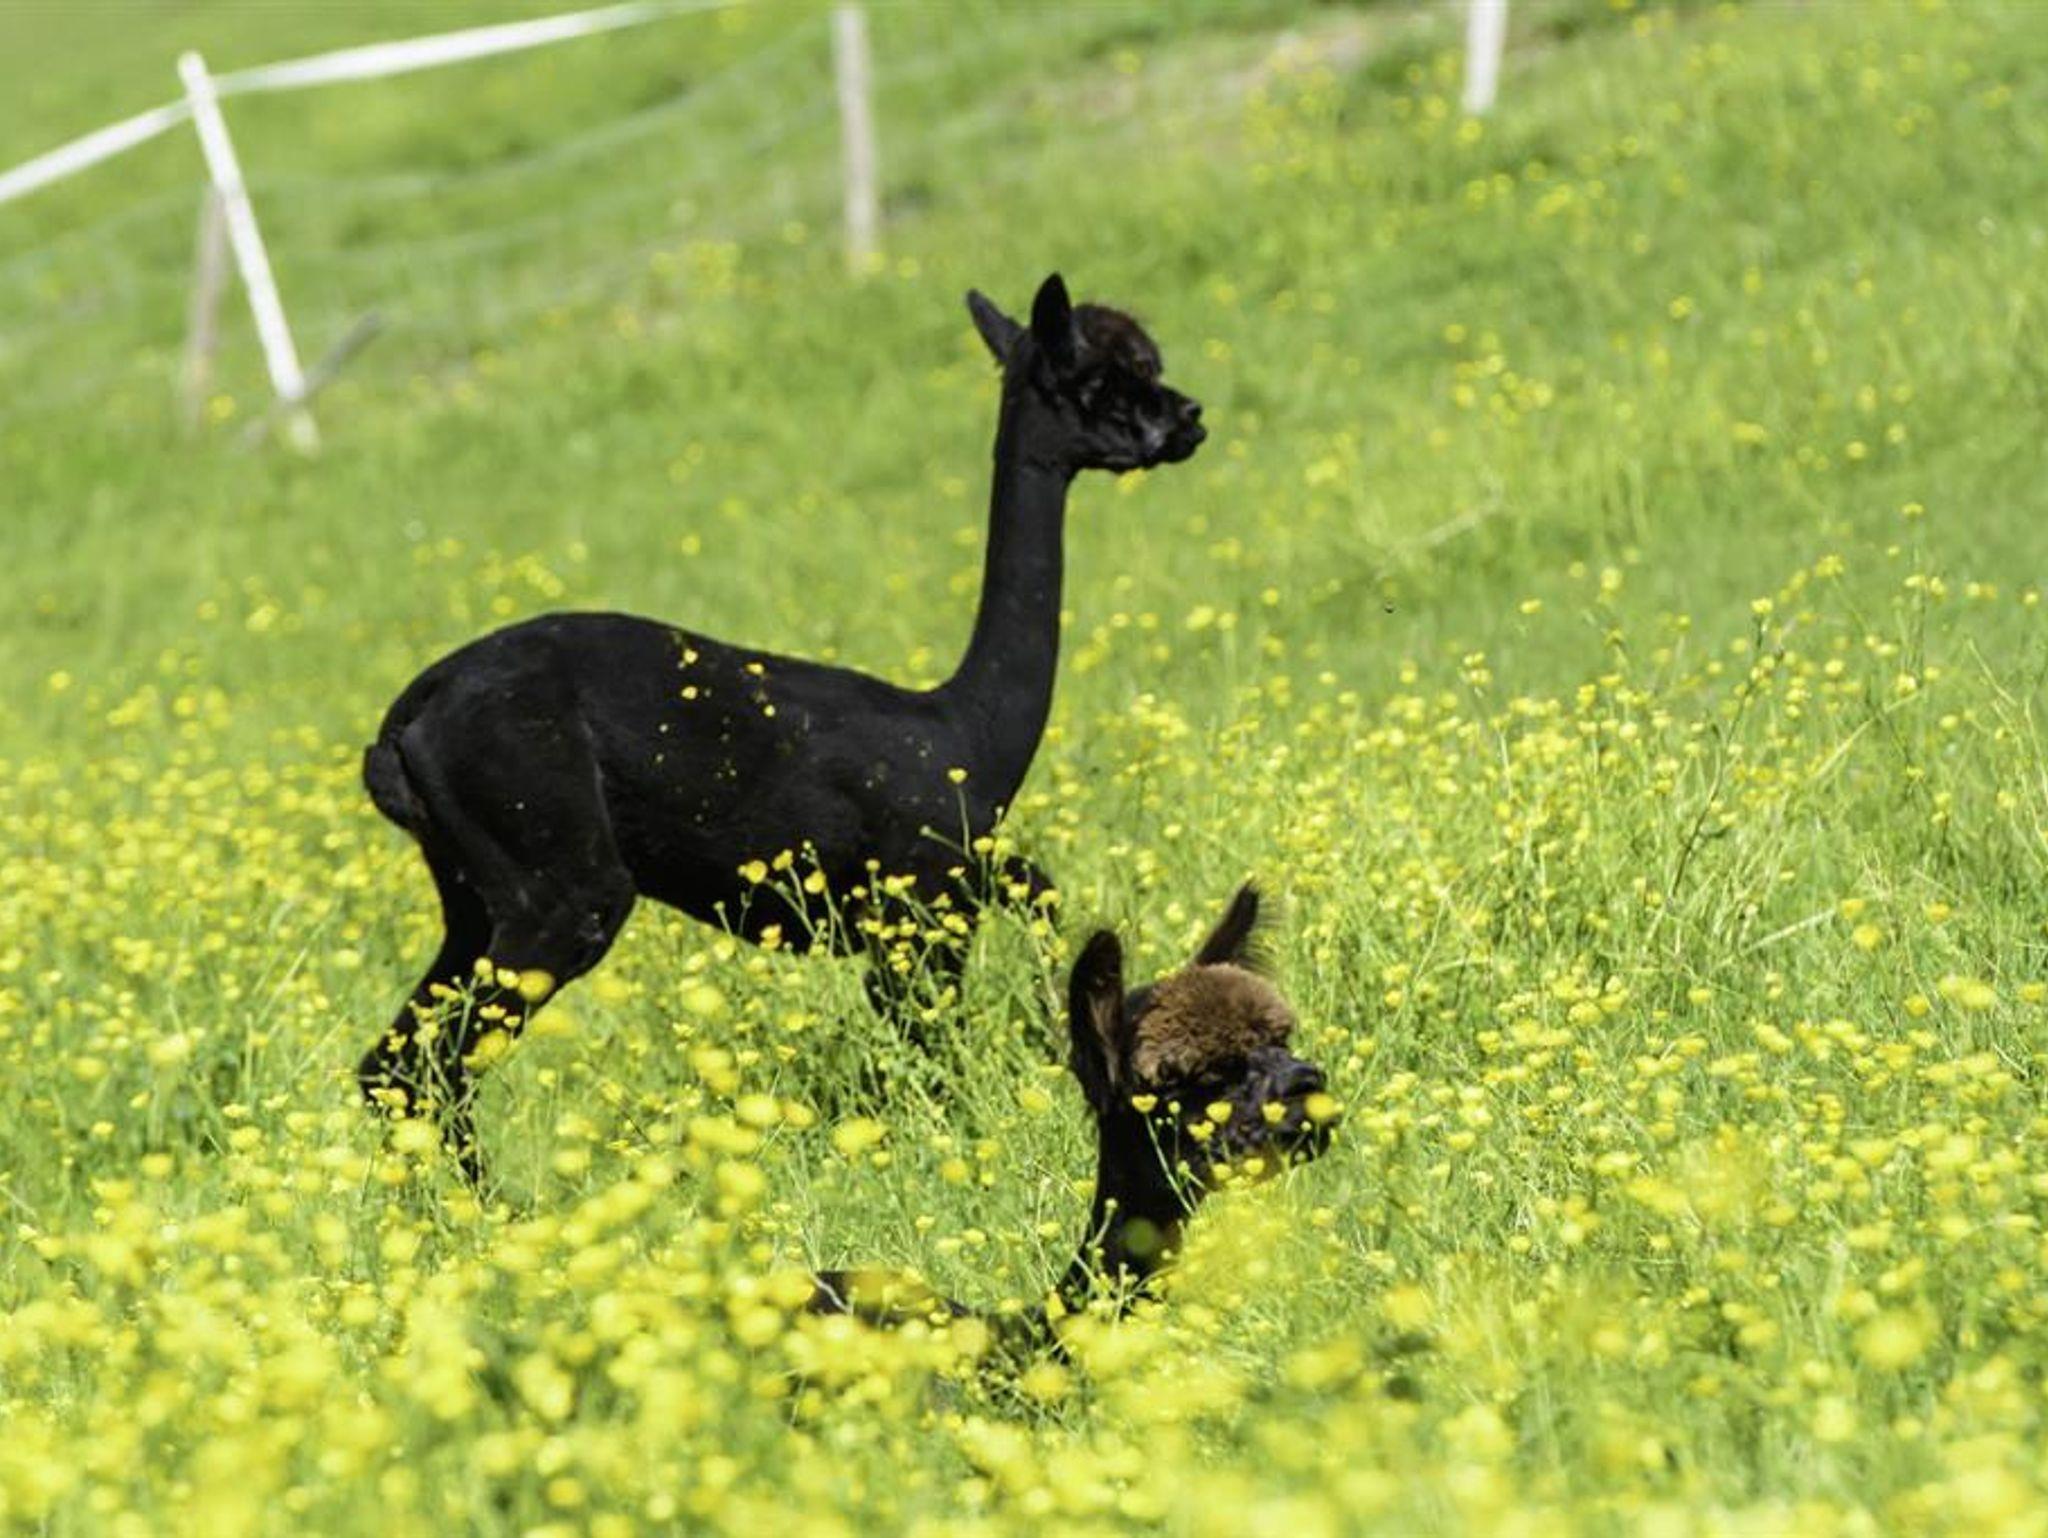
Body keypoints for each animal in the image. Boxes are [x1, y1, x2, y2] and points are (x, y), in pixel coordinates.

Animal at [357, 274, 1207, 1177]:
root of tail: (405, 724)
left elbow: (1034, 902)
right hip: (557, 882)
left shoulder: (953, 886)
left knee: (391, 1066)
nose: (1187, 415)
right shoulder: (918, 910)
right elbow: (933, 1049)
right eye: (1104, 378)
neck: (966, 729)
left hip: (471, 895)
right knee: (433, 1064)